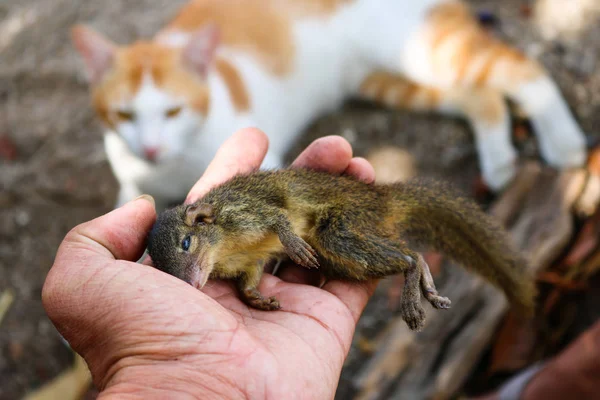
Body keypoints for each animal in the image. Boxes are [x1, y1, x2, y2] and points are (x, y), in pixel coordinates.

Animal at [70, 0, 584, 211]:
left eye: (173, 112)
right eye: (124, 115)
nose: (150, 148)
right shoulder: (131, 179)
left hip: (421, 48)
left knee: (521, 68)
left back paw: (564, 143)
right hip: (383, 77)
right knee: (480, 93)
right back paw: (499, 161)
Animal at [145, 167, 536, 330]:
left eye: (186, 242)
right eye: (165, 271)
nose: (192, 285)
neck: (223, 249)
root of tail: (381, 198)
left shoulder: (245, 213)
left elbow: (278, 218)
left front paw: (292, 243)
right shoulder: (250, 262)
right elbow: (248, 284)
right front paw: (259, 300)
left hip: (341, 231)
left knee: (407, 256)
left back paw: (412, 297)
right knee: (413, 253)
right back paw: (427, 288)